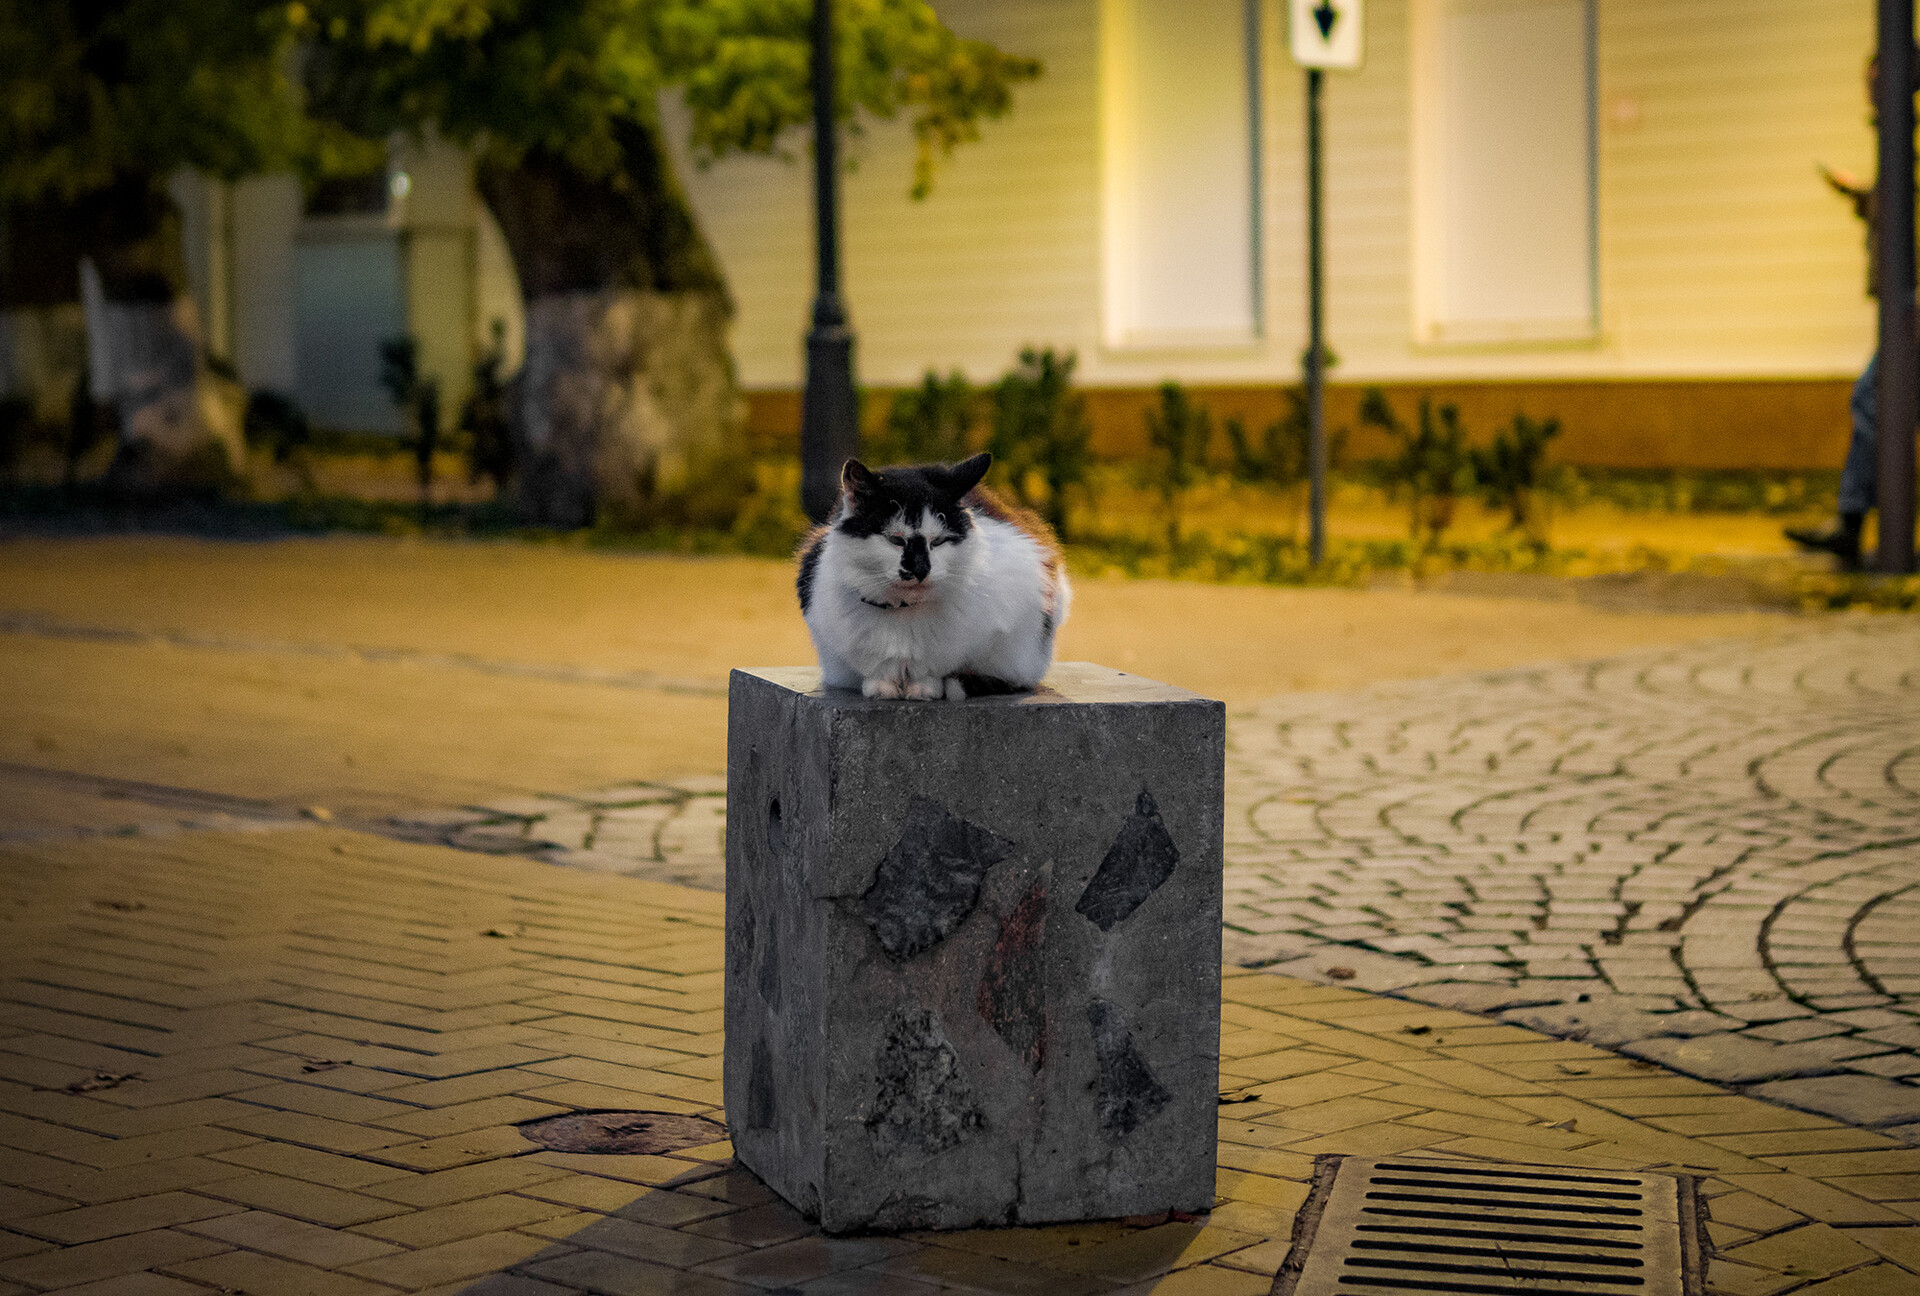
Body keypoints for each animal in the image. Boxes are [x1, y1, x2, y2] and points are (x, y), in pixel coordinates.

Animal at [791, 453, 1067, 706]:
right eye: (895, 539)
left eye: (939, 541)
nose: (921, 570)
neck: (903, 613)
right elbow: (875, 671)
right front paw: (882, 688)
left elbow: (941, 671)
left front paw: (924, 688)